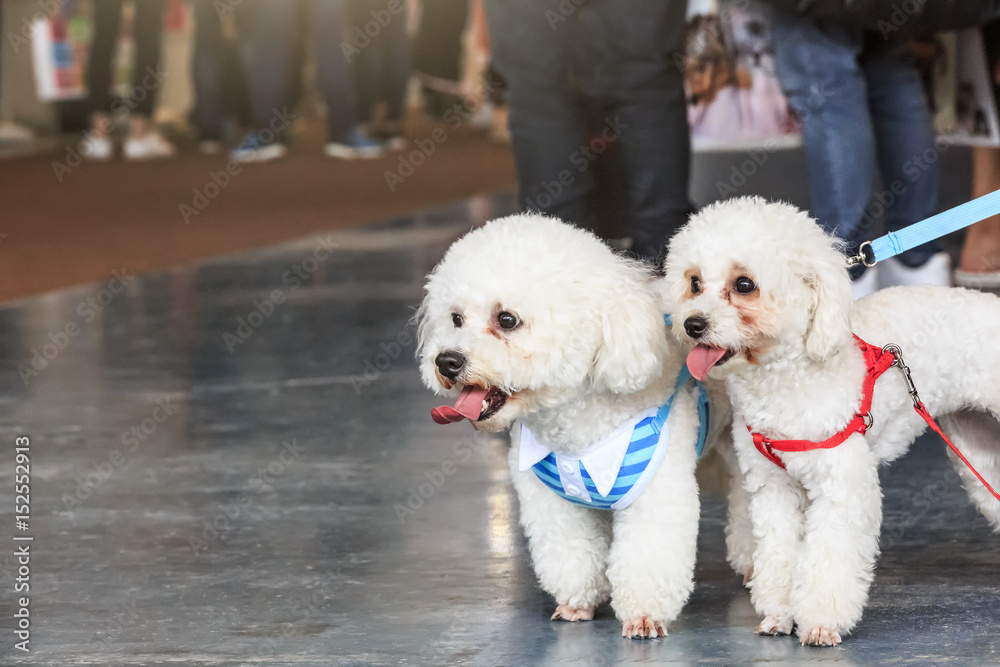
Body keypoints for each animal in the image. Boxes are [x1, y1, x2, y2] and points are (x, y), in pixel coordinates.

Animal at [414, 217, 736, 640]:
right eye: (455, 318)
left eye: (507, 320)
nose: (446, 361)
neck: (575, 419)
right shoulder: (551, 505)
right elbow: (572, 555)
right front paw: (578, 603)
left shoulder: (658, 495)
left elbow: (647, 556)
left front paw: (643, 616)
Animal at [664, 197, 1000, 648]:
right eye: (695, 282)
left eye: (744, 284)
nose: (692, 325)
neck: (786, 377)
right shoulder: (774, 489)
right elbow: (779, 555)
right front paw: (779, 615)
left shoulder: (842, 486)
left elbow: (829, 559)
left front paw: (821, 623)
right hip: (979, 456)